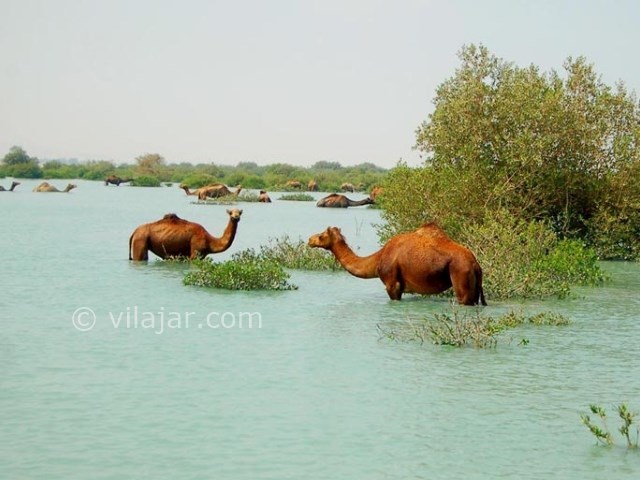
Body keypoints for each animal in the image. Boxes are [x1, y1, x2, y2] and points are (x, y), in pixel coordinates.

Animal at [308, 222, 488, 304]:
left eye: (321, 236)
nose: (310, 240)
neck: (378, 258)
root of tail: (475, 264)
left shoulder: (392, 284)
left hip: (461, 276)